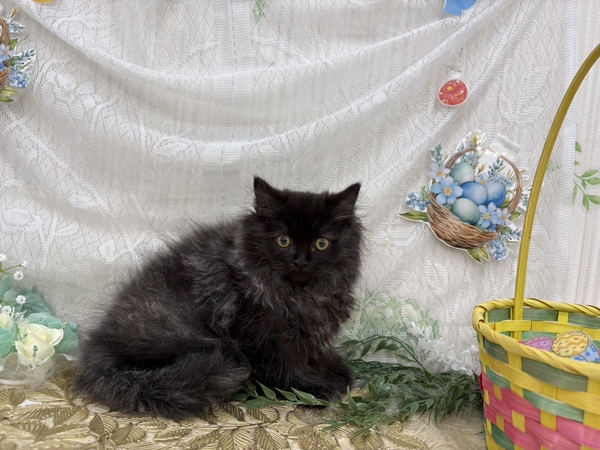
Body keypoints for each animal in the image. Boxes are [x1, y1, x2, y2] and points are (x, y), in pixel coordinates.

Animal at [75, 177, 363, 419]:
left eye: (321, 244)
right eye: (283, 241)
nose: (301, 261)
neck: (299, 295)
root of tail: (98, 351)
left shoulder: (308, 334)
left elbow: (316, 354)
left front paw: (336, 371)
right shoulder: (264, 337)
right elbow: (286, 370)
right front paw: (313, 389)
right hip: (179, 332)